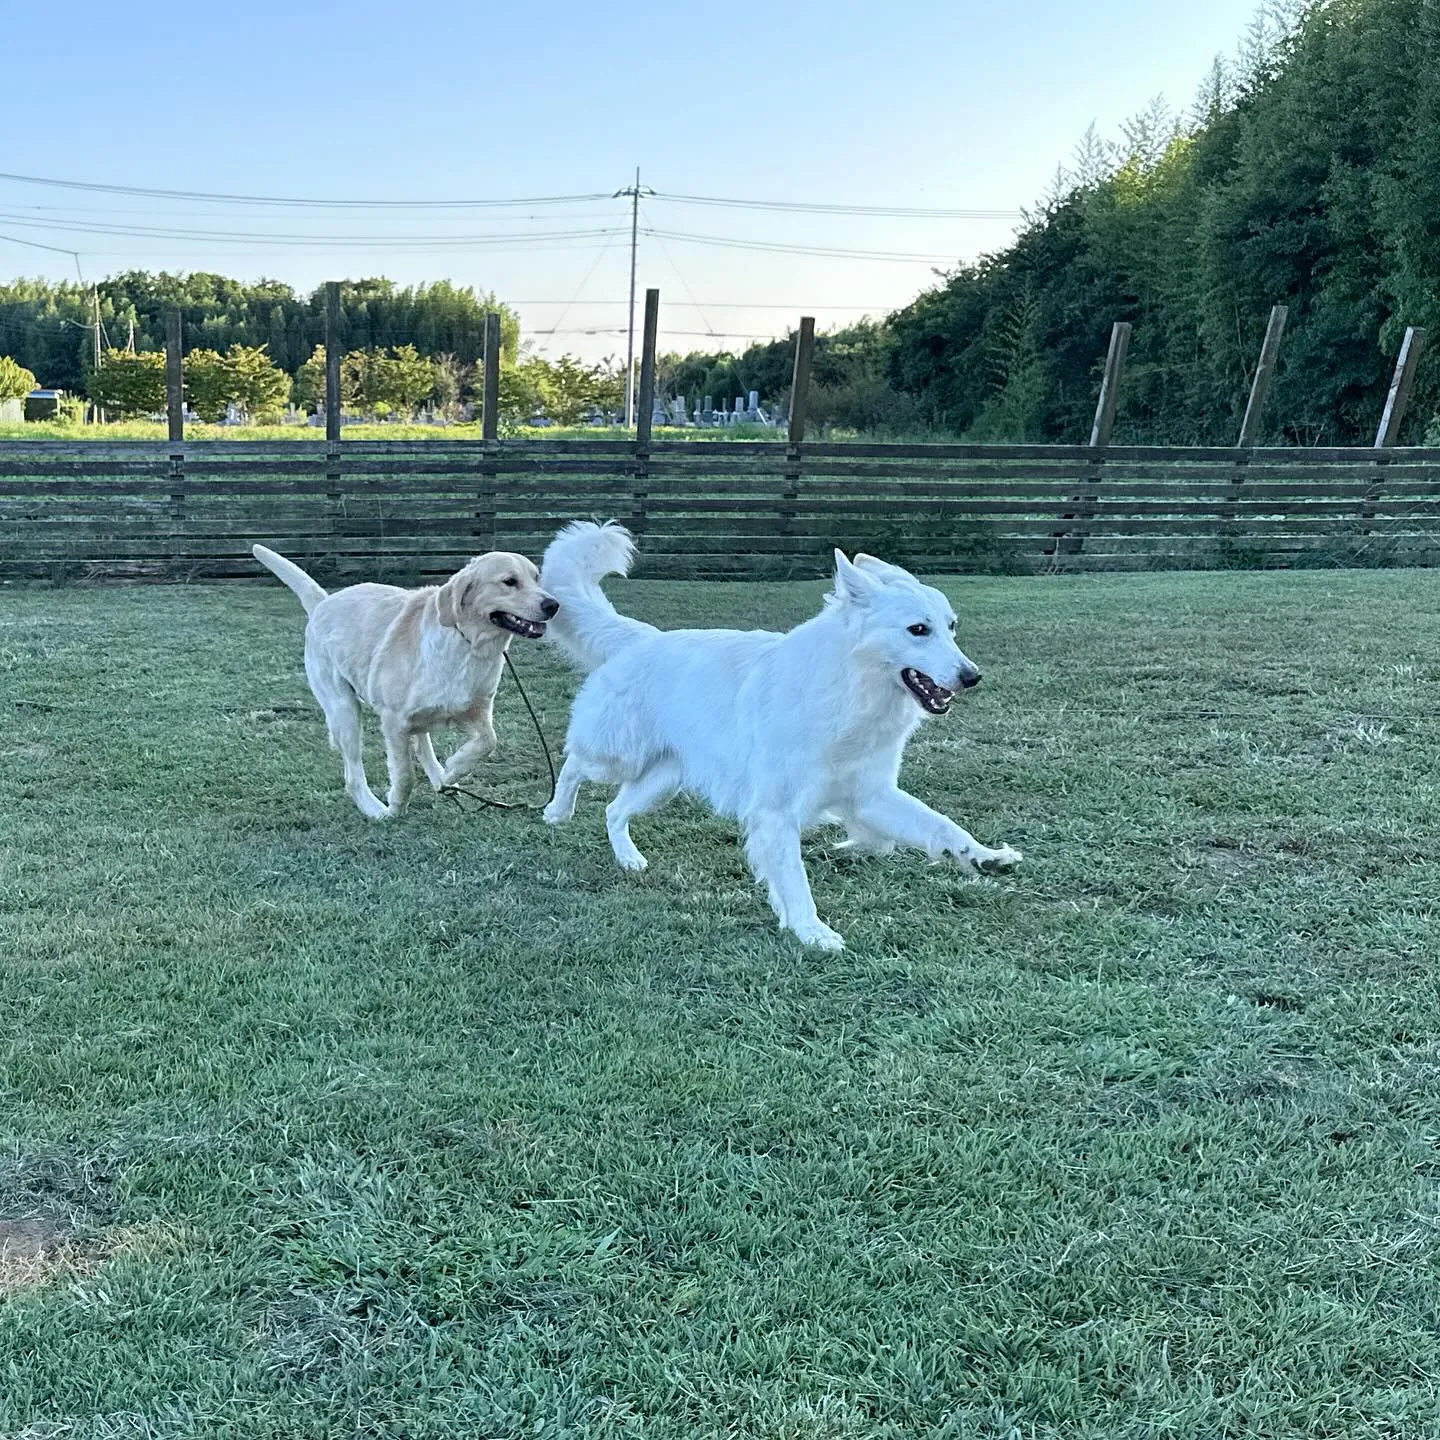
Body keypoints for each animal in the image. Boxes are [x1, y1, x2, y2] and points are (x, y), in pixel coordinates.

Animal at [253, 541, 555, 817]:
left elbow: (488, 742)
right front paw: (396, 807)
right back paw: (374, 809)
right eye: (509, 582)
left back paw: (440, 779)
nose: (553, 604)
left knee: (422, 743)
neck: (467, 644)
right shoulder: (394, 721)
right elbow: (405, 774)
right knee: (353, 775)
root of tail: (323, 602)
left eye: (536, 578)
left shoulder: (475, 711)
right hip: (344, 710)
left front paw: (453, 770)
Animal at [541, 524, 1025, 950]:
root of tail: (641, 638)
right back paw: (557, 811)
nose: (973, 677)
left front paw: (982, 856)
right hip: (615, 755)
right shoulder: (776, 813)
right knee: (574, 764)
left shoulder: (871, 795)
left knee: (613, 810)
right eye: (918, 630)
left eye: (951, 626)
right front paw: (812, 932)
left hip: (663, 780)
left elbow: (937, 824)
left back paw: (628, 858)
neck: (848, 688)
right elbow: (795, 878)